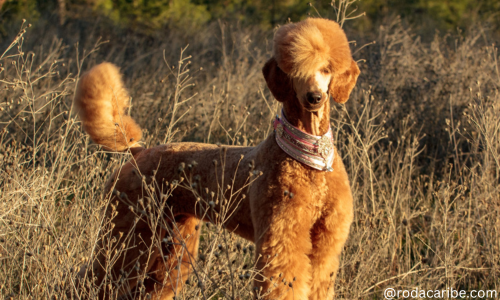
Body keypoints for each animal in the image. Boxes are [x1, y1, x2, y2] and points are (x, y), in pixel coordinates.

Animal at [75, 18, 360, 300]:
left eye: (326, 69)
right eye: (295, 71)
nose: (314, 98)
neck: (309, 156)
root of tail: (138, 152)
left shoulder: (325, 244)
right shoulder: (282, 238)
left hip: (170, 241)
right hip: (128, 231)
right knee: (90, 279)